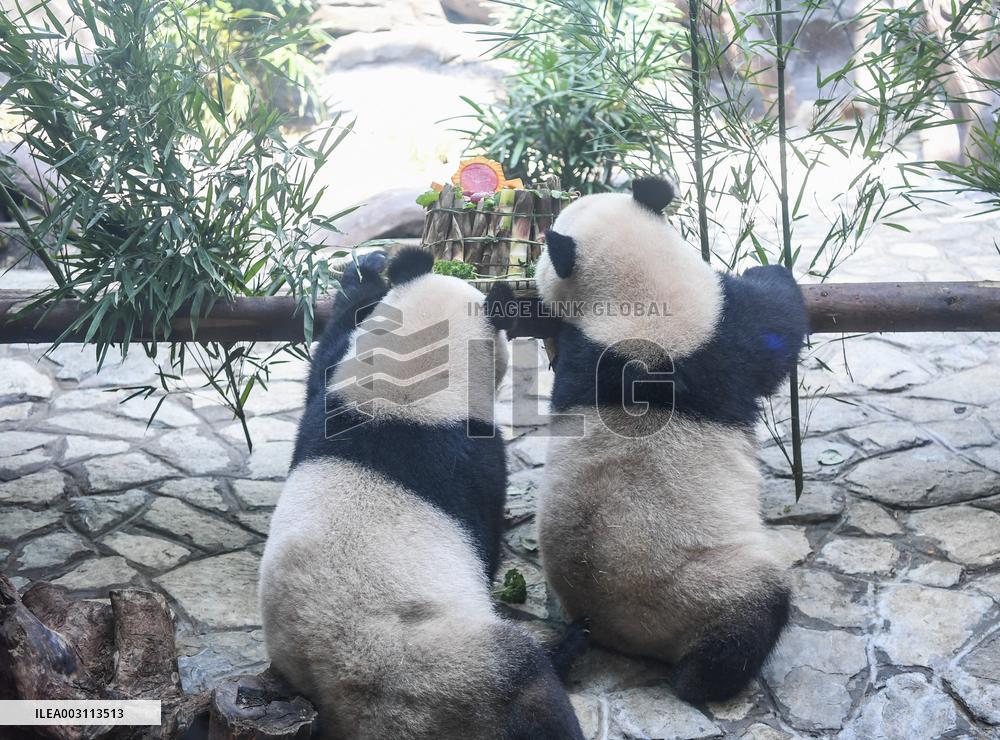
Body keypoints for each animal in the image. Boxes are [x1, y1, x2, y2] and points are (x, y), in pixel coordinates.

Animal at [258, 248, 585, 740]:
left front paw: (367, 272)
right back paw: (564, 652)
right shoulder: (474, 461)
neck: (406, 391)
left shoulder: (332, 407)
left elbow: (328, 352)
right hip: (443, 677)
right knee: (528, 686)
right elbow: (487, 541)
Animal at [533, 177, 808, 704]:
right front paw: (773, 269)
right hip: (707, 586)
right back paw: (707, 680)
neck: (635, 298)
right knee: (754, 613)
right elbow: (774, 325)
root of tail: (614, 628)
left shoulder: (586, 359)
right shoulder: (721, 333)